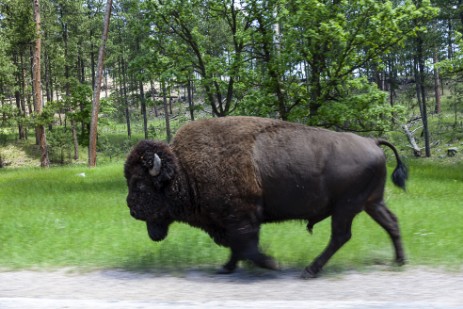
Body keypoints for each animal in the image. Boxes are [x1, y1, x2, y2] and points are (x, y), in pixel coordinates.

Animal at [124, 115, 410, 276]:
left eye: (140, 184)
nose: (131, 209)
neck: (183, 169)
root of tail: (372, 142)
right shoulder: (233, 221)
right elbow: (238, 247)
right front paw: (226, 268)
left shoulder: (242, 217)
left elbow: (246, 246)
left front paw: (273, 264)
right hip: (371, 202)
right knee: (391, 223)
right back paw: (399, 261)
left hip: (346, 207)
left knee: (341, 236)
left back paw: (310, 270)